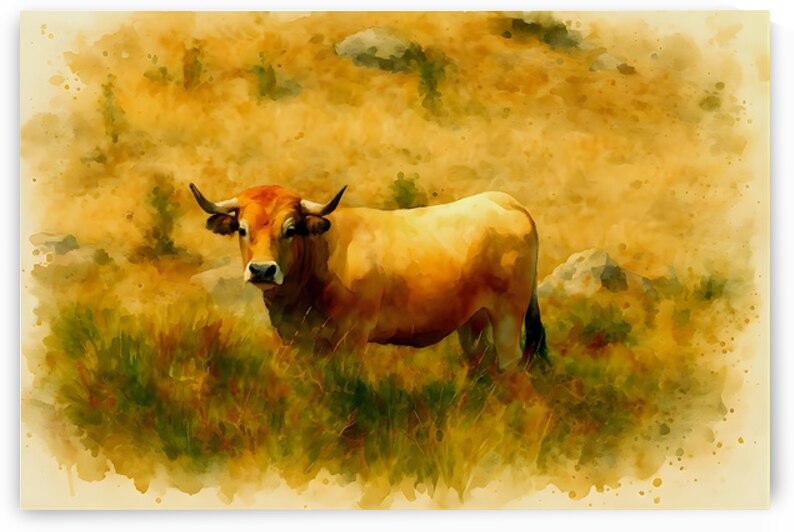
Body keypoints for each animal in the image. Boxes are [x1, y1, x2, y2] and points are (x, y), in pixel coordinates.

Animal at [190, 183, 548, 370]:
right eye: (242, 229)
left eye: (290, 229)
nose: (262, 269)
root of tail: (505, 201)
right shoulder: (299, 342)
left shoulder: (352, 339)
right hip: (473, 324)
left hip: (507, 318)